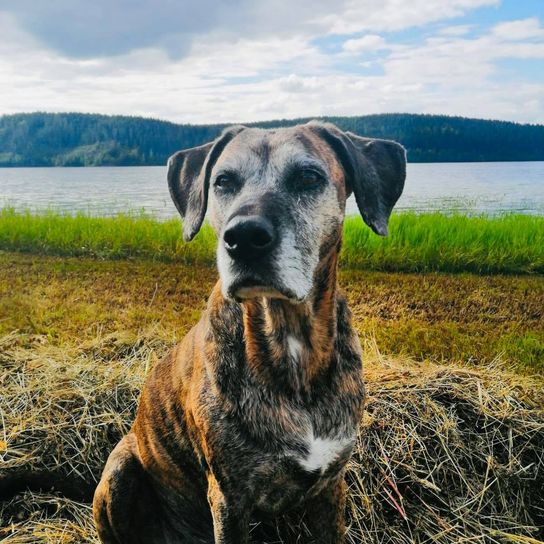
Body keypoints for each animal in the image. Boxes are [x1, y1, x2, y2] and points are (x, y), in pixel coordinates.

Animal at [93, 122, 406, 544]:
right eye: (223, 181)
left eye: (308, 177)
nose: (243, 237)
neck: (288, 339)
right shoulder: (229, 497)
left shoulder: (331, 484)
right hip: (120, 468)